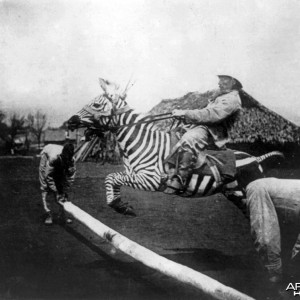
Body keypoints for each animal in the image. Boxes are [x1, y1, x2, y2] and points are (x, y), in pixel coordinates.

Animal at [68, 79, 284, 216]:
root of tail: (255, 158)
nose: (70, 121)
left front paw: (119, 205)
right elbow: (111, 178)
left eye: (96, 105)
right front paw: (120, 205)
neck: (143, 142)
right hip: (236, 195)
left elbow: (112, 177)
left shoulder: (151, 180)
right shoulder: (131, 174)